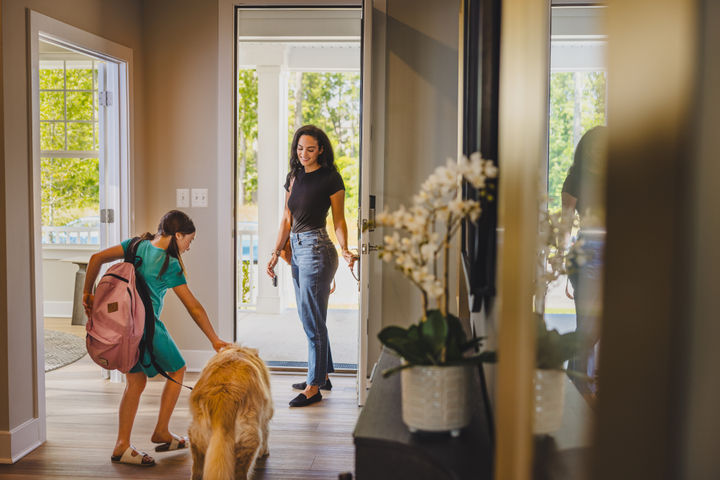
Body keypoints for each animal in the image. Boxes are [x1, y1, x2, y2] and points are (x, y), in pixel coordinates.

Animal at [188, 344, 272, 480]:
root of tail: (224, 395)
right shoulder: (266, 413)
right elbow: (266, 431)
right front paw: (264, 452)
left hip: (197, 435)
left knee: (197, 470)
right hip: (249, 439)